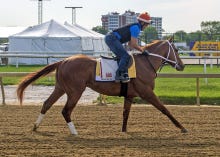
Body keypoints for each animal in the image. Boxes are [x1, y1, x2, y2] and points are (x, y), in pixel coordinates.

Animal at [16, 38, 187, 135]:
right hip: (75, 91)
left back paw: (35, 127)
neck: (146, 63)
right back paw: (74, 132)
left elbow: (125, 114)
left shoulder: (130, 95)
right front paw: (182, 128)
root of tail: (63, 61)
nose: (182, 65)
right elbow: (164, 109)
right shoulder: (146, 92)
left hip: (61, 88)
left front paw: (123, 131)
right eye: (176, 50)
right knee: (66, 110)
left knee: (47, 104)